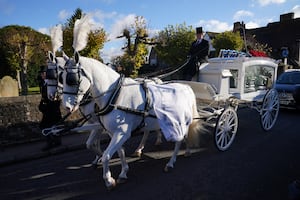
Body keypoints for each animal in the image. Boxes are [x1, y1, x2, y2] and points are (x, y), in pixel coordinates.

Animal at [61, 51, 202, 189]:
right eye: (61, 77)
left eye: (71, 80)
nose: (66, 107)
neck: (115, 96)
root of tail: (186, 87)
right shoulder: (113, 132)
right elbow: (120, 152)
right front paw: (123, 172)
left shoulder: (121, 132)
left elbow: (107, 155)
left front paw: (109, 180)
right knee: (181, 136)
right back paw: (186, 151)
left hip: (180, 121)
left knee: (179, 139)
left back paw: (171, 162)